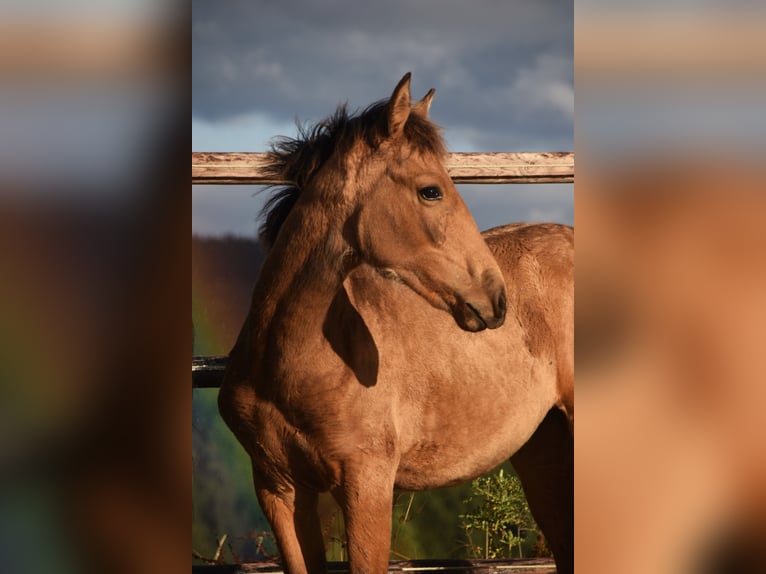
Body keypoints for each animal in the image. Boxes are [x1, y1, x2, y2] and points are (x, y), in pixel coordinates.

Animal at [219, 73, 572, 574]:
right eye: (431, 191)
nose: (496, 300)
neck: (291, 365)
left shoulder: (367, 484)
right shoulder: (279, 489)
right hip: (545, 449)